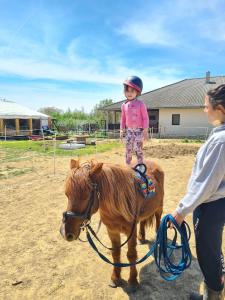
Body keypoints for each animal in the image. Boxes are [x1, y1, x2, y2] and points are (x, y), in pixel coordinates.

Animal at [59, 159, 164, 288]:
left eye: (86, 196)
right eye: (67, 194)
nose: (65, 232)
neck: (117, 207)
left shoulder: (131, 231)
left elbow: (131, 254)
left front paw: (133, 280)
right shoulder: (112, 231)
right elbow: (115, 253)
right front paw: (115, 278)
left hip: (159, 207)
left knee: (158, 220)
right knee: (143, 221)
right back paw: (141, 238)